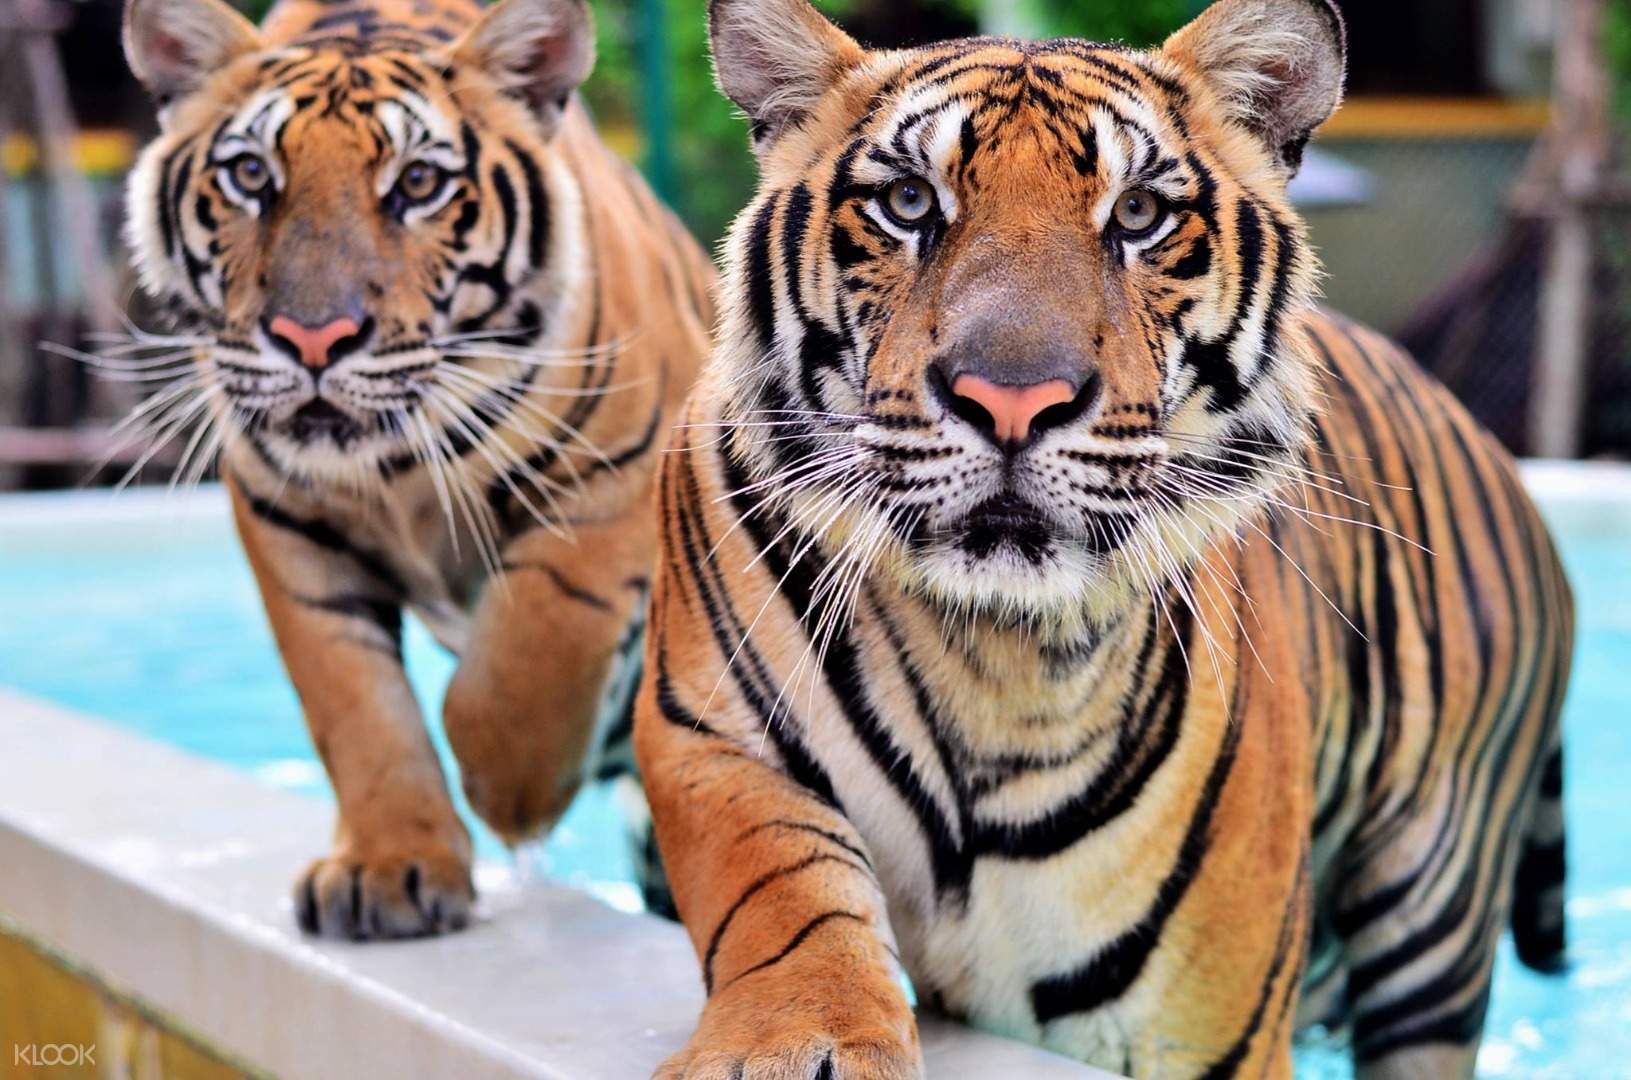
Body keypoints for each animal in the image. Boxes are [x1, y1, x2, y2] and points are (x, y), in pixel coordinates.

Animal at [120, 0, 714, 939]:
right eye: (250, 175)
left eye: (419, 184)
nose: (313, 339)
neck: (394, 465)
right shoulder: (290, 529)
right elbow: (357, 706)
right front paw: (389, 869)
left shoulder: (612, 487)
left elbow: (522, 660)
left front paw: (513, 799)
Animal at [634, 0, 1573, 1077]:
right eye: (909, 202)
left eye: (1136, 216)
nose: (1010, 398)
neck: (988, 656)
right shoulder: (713, 732)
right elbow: (783, 894)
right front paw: (797, 1037)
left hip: (1435, 911)